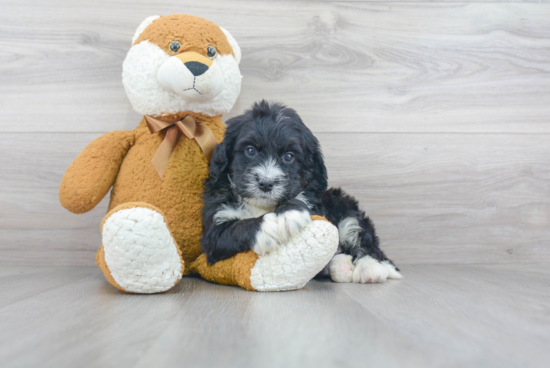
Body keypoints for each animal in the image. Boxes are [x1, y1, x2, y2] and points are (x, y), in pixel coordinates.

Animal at [201, 100, 404, 284]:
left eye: (289, 156)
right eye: (250, 150)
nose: (266, 183)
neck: (261, 206)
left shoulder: (316, 204)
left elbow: (298, 198)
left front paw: (289, 213)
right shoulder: (213, 231)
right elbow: (234, 229)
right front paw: (268, 227)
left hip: (345, 207)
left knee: (363, 240)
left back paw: (370, 268)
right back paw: (340, 266)